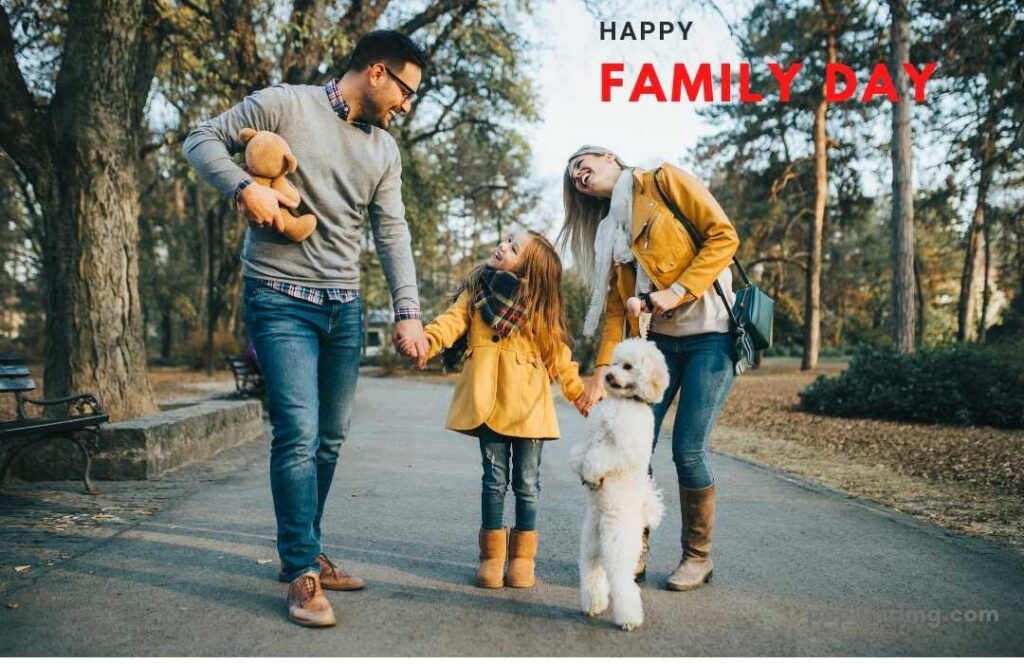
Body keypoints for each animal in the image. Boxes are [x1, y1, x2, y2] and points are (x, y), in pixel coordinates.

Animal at [569, 340, 671, 631]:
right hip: (591, 547)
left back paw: (629, 619)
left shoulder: (622, 450)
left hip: (618, 549)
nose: (608, 376)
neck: (624, 401)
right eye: (614, 363)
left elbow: (597, 457)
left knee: (624, 584)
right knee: (594, 575)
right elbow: (579, 454)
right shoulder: (590, 438)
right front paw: (582, 471)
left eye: (627, 367)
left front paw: (591, 474)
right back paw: (593, 605)